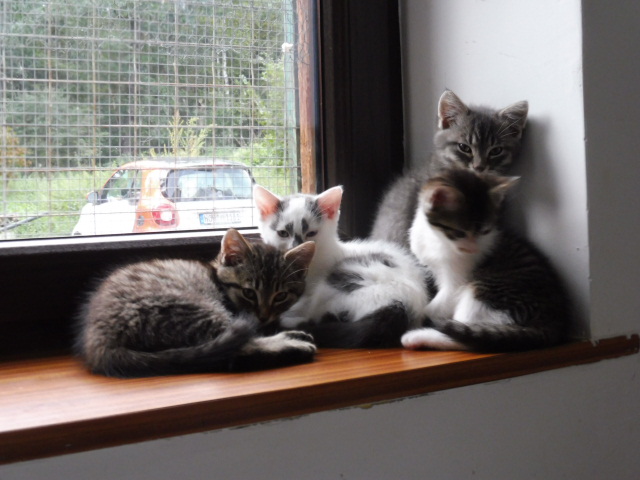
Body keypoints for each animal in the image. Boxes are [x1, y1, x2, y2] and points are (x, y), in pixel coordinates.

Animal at [75, 228, 317, 377]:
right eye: (249, 292)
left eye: (280, 296)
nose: (264, 316)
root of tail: (99, 341)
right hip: (190, 309)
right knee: (238, 350)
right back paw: (290, 343)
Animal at [402, 168, 571, 352]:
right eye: (460, 233)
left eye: (485, 231)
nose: (473, 249)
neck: (438, 239)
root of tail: (555, 320)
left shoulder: (457, 282)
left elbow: (437, 305)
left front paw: (421, 317)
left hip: (486, 294)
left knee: (469, 338)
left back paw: (418, 336)